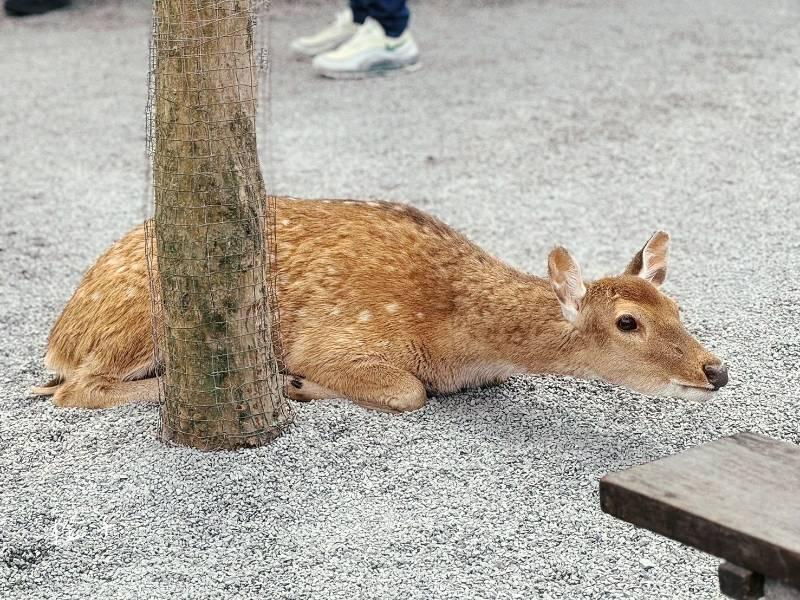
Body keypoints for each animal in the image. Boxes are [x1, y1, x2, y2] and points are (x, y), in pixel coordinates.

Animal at [34, 197, 728, 412]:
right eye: (628, 322)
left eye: (678, 309)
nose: (715, 369)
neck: (459, 343)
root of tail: (59, 334)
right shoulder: (342, 338)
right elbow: (406, 392)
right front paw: (300, 382)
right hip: (142, 319)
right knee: (75, 389)